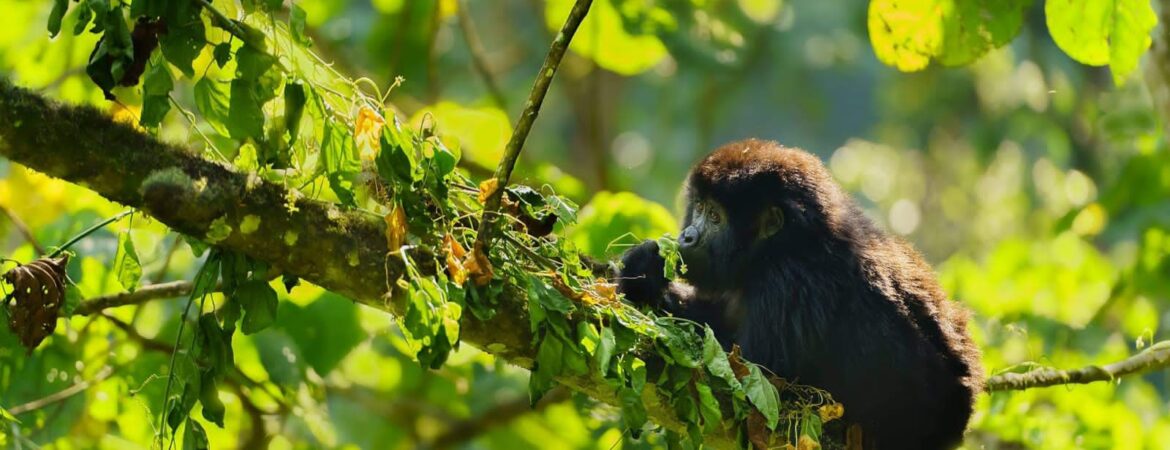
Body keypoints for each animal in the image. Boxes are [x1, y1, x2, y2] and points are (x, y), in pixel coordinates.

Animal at [617, 139, 984, 450]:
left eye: (715, 217)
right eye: (699, 208)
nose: (688, 237)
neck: (782, 245)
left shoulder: (788, 282)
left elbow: (749, 378)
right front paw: (642, 273)